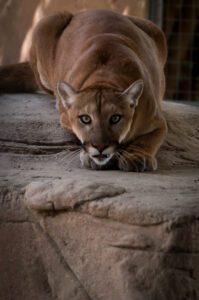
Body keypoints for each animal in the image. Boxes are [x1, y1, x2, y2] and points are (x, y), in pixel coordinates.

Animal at [0, 9, 167, 171]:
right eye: (85, 119)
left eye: (115, 118)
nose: (100, 147)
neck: (104, 77)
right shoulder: (65, 117)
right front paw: (91, 156)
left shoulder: (157, 121)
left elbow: (147, 140)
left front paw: (136, 157)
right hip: (46, 22)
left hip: (157, 30)